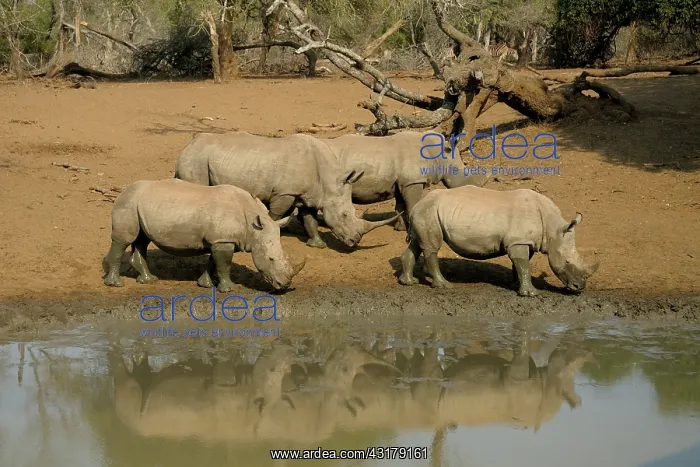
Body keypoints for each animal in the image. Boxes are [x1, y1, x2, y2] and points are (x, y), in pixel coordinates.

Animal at [102, 179, 306, 292]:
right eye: (271, 259)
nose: (285, 287)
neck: (253, 226)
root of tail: (123, 190)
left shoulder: (219, 239)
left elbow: (214, 262)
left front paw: (205, 284)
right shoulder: (223, 240)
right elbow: (224, 265)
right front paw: (229, 289)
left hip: (139, 205)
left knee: (142, 240)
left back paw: (148, 280)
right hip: (127, 203)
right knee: (124, 240)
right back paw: (116, 284)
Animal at [174, 131, 399, 249]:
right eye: (344, 215)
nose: (354, 242)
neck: (329, 179)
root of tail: (187, 146)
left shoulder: (309, 194)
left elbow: (309, 218)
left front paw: (317, 245)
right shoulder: (284, 193)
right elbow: (275, 214)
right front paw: (270, 234)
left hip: (199, 157)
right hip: (197, 159)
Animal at [306, 131, 489, 234]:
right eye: (462, 175)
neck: (437, 153)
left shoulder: (403, 182)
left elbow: (400, 205)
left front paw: (400, 228)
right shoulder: (413, 181)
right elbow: (412, 204)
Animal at [398, 185, 600, 296]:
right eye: (567, 261)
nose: (579, 287)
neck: (552, 229)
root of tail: (417, 204)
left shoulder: (523, 241)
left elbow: (520, 264)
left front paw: (515, 286)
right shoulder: (518, 241)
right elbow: (523, 264)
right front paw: (531, 294)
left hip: (426, 212)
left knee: (417, 244)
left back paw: (408, 282)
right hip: (430, 211)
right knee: (431, 247)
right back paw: (445, 286)